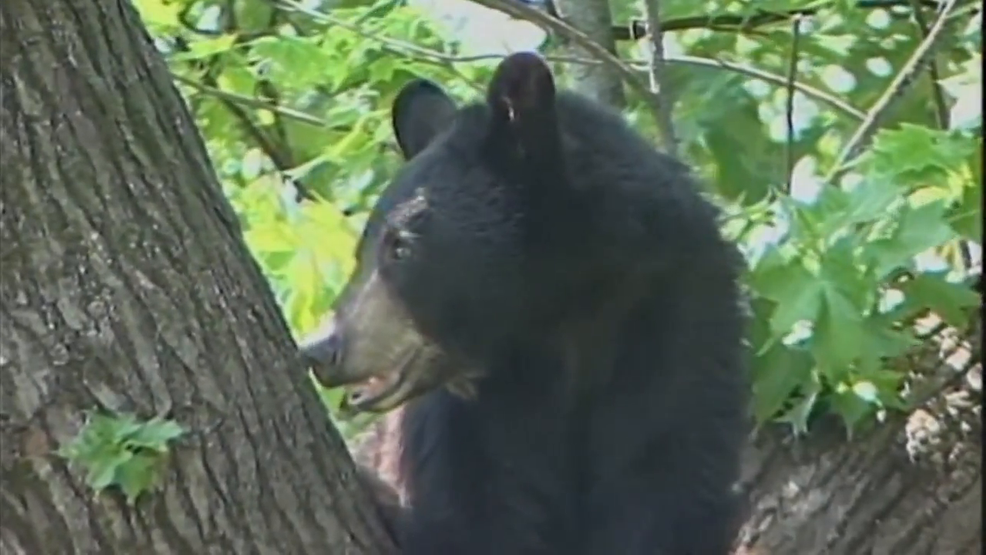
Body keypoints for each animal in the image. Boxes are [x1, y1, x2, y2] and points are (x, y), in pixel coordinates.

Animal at [299, 51, 750, 555]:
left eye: (400, 247)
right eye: (363, 247)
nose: (322, 349)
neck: (557, 318)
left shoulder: (677, 325)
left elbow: (663, 478)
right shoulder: (466, 421)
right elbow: (474, 511)